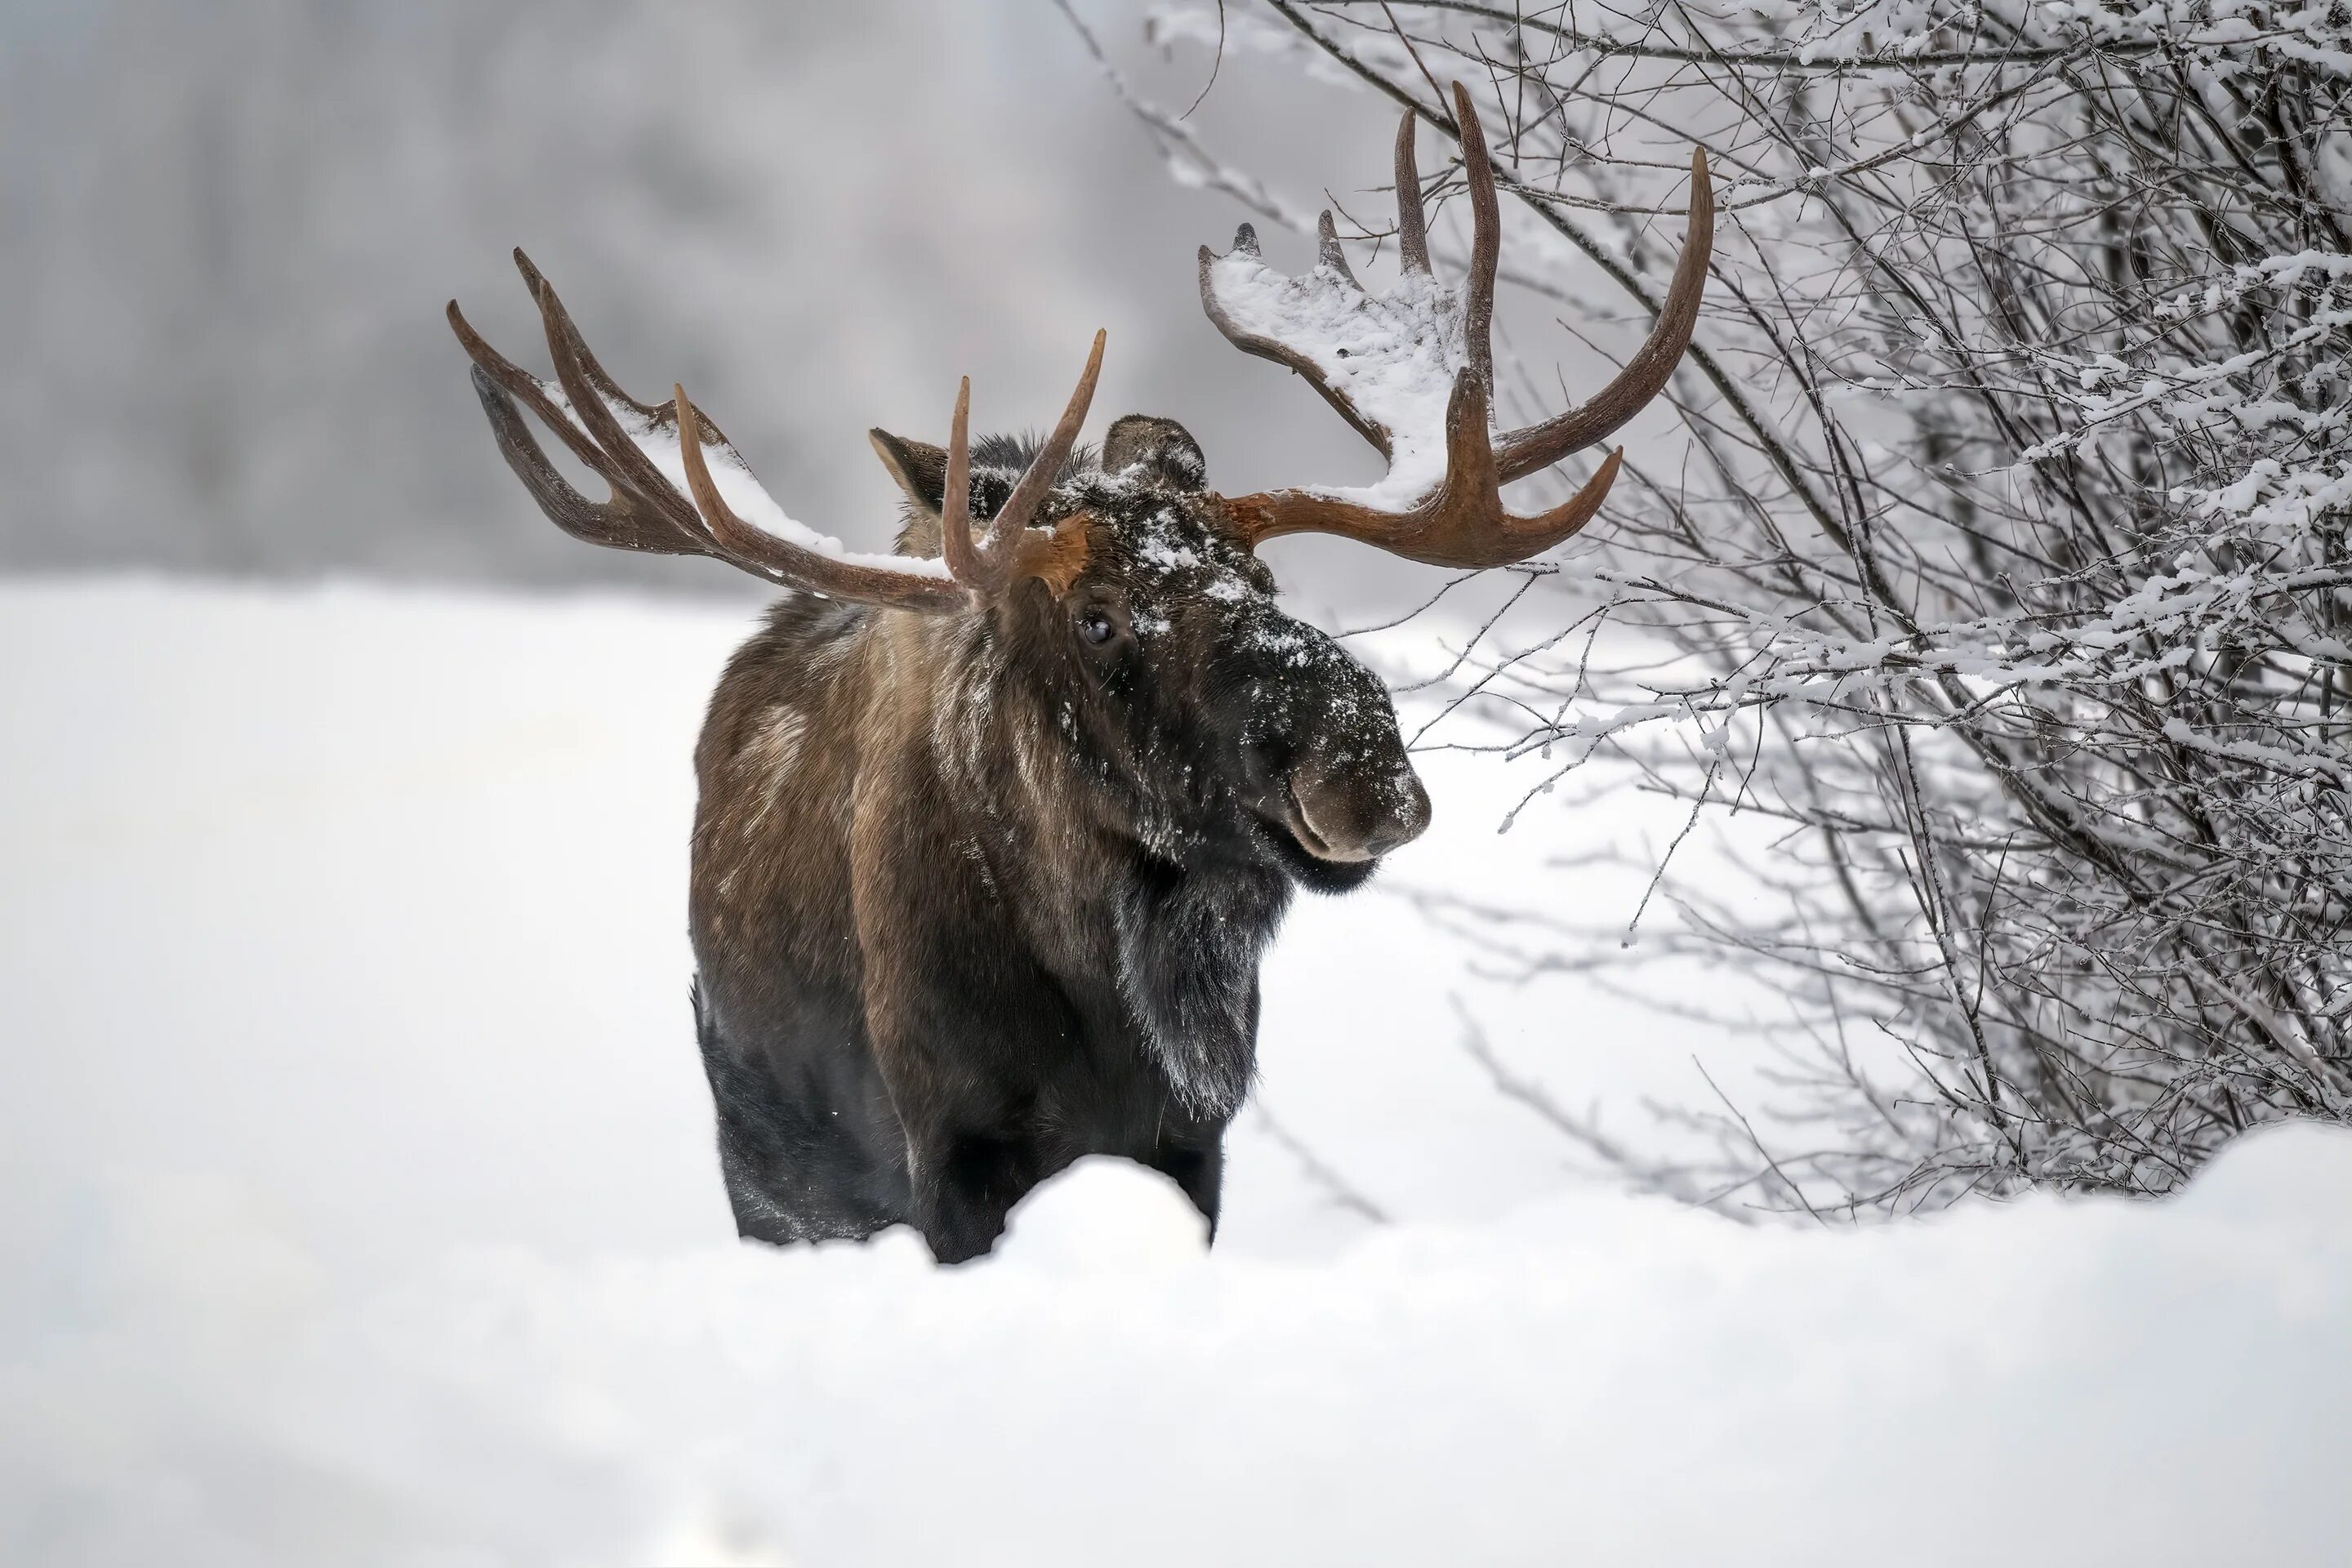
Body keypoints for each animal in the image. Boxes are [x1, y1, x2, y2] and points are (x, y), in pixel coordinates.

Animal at [444, 88, 1712, 1259]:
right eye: (1097, 621)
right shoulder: (954, 1154)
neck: (1104, 987)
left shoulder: (1189, 1144)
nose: (1362, 766)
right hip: (772, 1179)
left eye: (1263, 575)